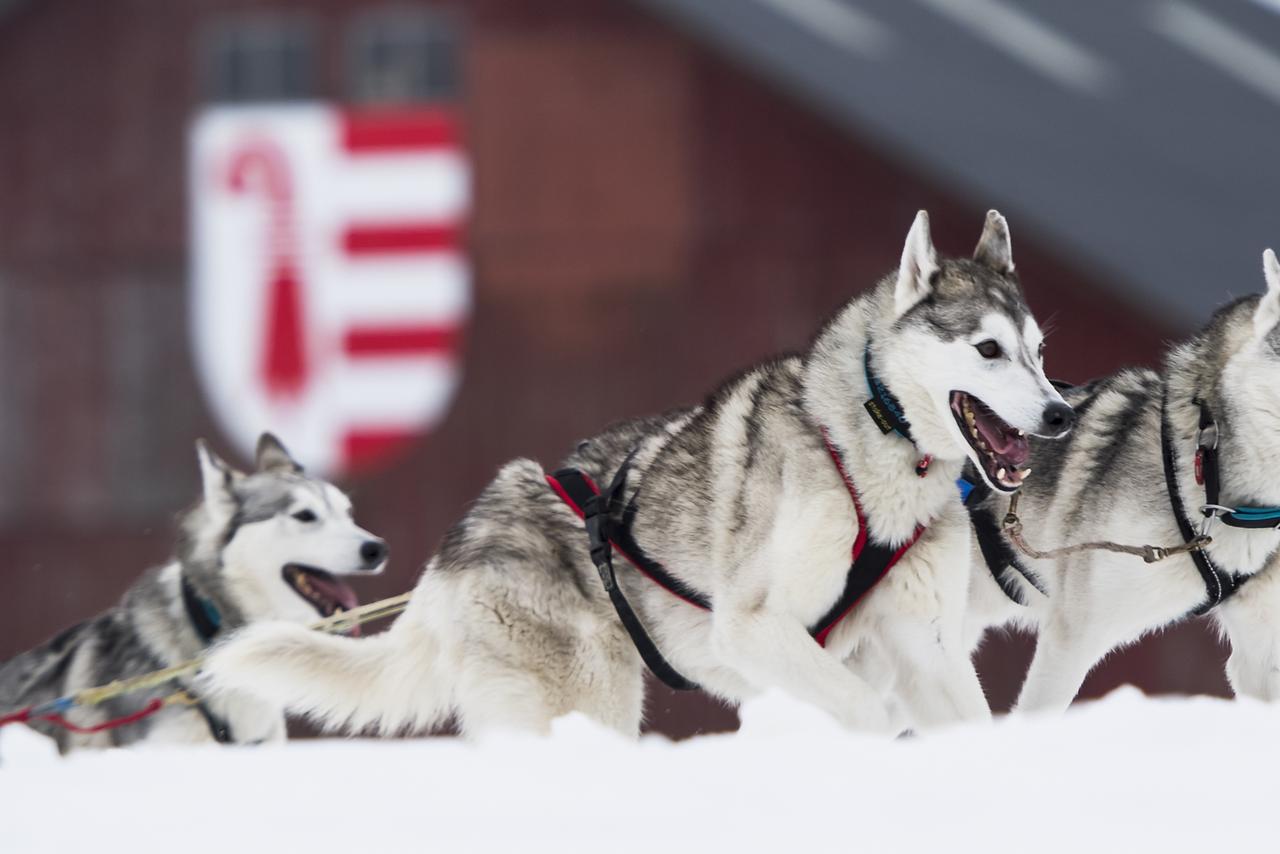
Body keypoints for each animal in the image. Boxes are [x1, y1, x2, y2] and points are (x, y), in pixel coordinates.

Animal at [199, 209, 1075, 737]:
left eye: (1037, 351)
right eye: (987, 350)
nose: (1060, 414)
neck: (873, 447)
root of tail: (461, 541)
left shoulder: (926, 645)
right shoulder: (756, 630)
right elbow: (865, 711)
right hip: (588, 701)